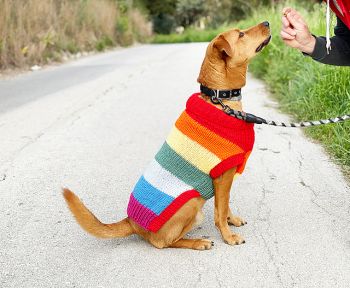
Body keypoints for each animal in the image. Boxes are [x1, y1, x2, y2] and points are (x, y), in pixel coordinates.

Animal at [63, 22, 270, 250]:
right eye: (241, 34)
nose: (267, 23)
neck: (219, 100)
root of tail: (132, 222)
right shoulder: (222, 175)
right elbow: (220, 212)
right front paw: (228, 236)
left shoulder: (225, 179)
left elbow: (225, 205)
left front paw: (232, 221)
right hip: (191, 202)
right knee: (164, 242)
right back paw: (198, 242)